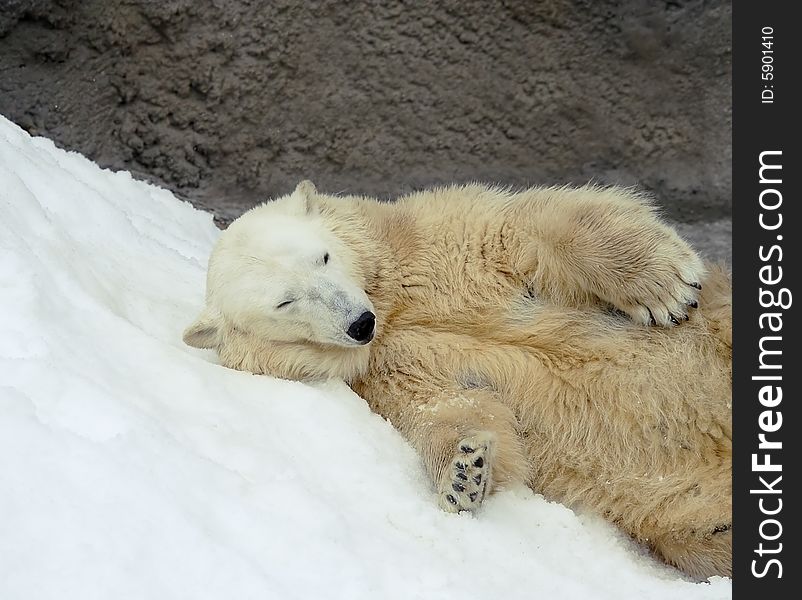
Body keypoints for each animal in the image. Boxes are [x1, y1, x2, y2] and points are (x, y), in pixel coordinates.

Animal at [183, 180, 732, 580]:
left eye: (321, 256)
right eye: (285, 301)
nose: (359, 323)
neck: (394, 309)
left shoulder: (436, 246)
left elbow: (535, 224)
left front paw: (666, 287)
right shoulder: (387, 369)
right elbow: (450, 405)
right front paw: (465, 472)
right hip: (685, 519)